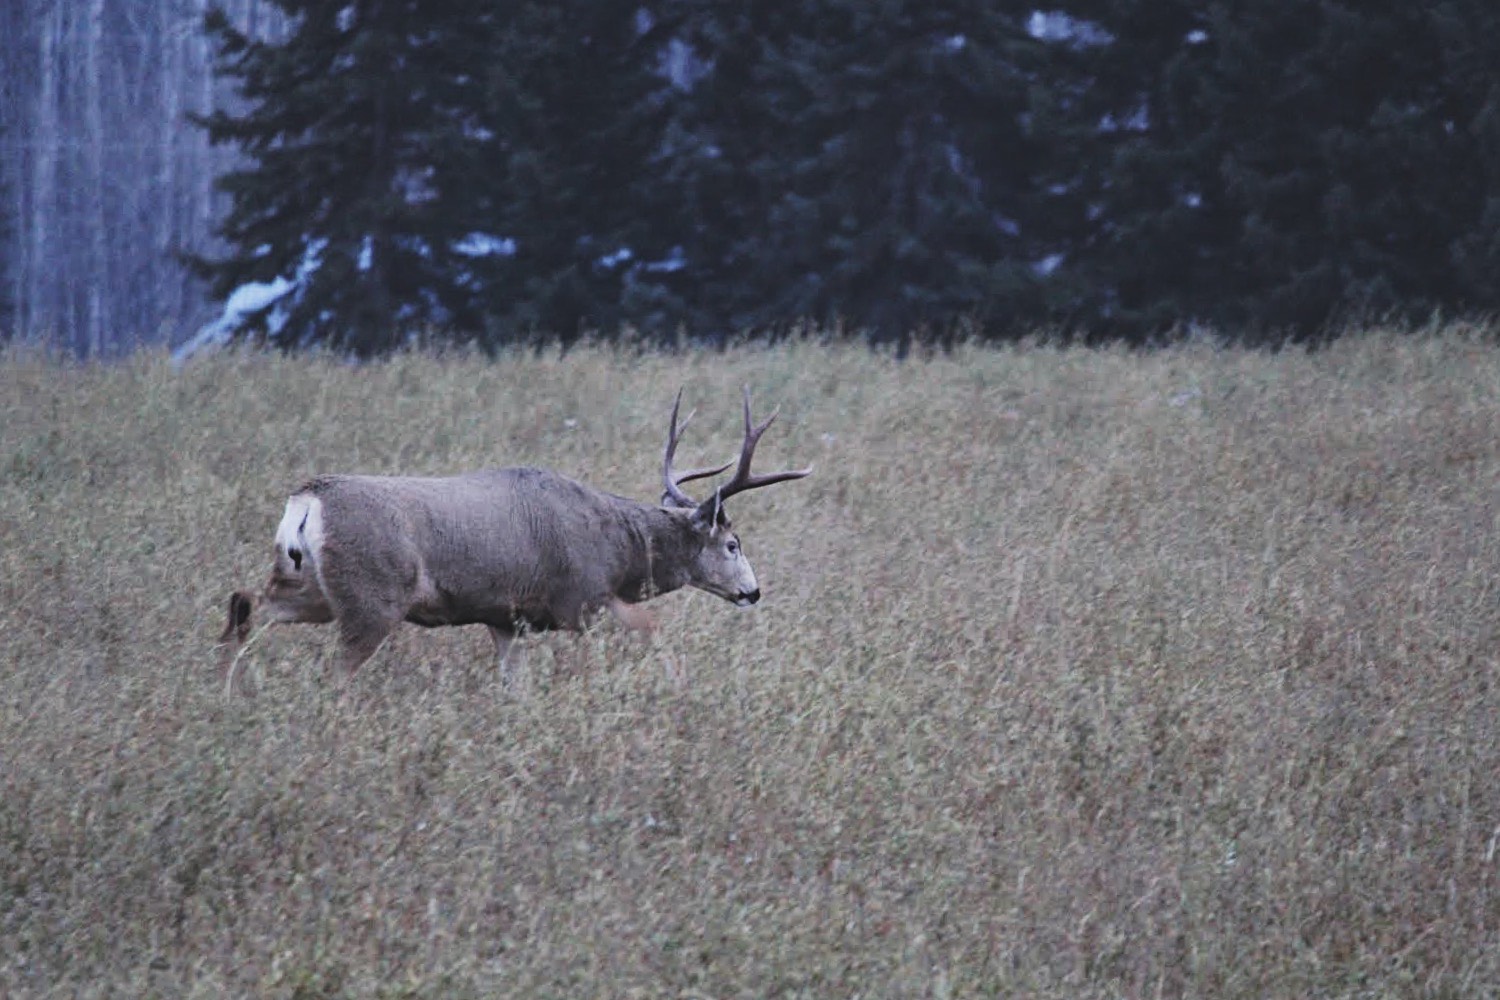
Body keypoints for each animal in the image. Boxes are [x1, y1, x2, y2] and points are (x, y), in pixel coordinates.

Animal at [214, 389, 810, 689]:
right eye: (733, 544)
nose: (753, 591)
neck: (618, 549)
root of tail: (306, 502)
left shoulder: (506, 619)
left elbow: (513, 687)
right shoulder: (581, 599)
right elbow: (655, 633)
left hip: (311, 585)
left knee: (247, 604)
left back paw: (225, 696)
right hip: (371, 595)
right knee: (333, 674)